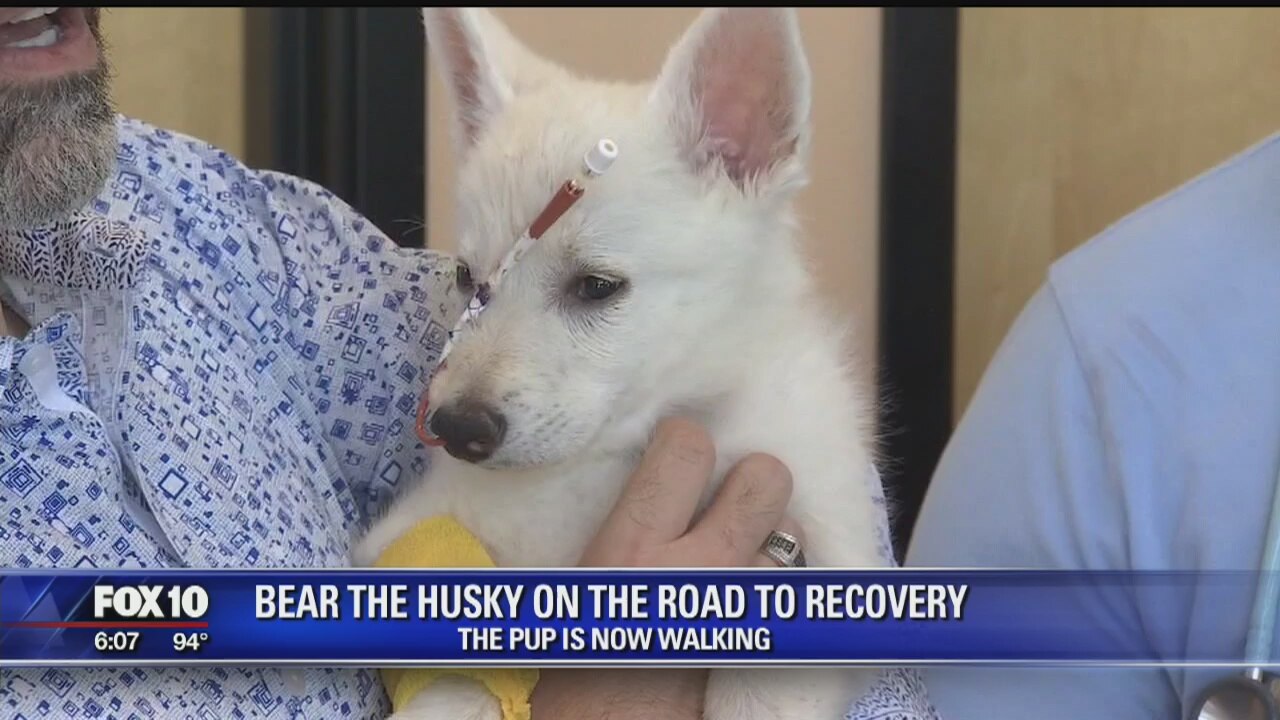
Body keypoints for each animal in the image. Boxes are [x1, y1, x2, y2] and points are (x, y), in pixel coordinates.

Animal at [355, 7, 894, 719]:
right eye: (470, 278)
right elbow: (455, 673)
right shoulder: (422, 529)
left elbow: (760, 692)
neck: (622, 451)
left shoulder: (831, 546)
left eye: (597, 286)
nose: (456, 428)